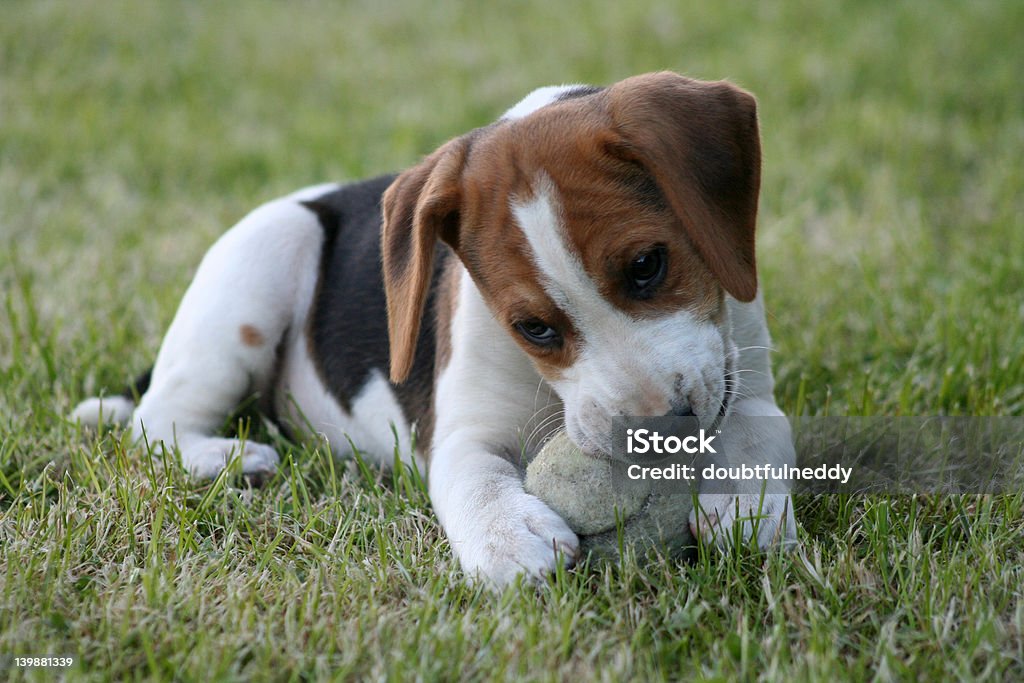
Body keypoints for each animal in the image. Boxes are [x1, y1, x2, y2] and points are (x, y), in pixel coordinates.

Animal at [77, 73, 798, 589]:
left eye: (648, 266)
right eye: (533, 327)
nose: (656, 435)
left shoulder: (744, 379)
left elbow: (757, 432)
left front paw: (746, 503)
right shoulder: (460, 433)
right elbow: (474, 476)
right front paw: (507, 539)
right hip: (258, 269)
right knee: (153, 421)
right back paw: (229, 459)